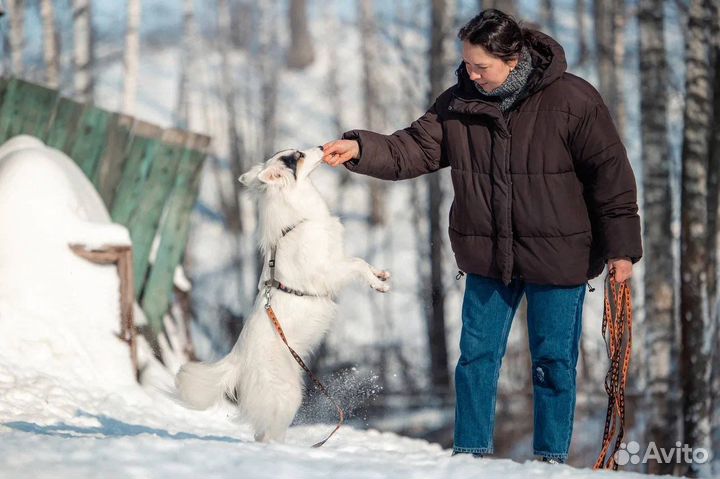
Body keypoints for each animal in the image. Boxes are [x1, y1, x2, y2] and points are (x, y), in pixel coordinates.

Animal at [174, 145, 390, 442]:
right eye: (298, 156)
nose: (322, 147)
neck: (299, 219)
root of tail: (237, 361)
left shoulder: (338, 259)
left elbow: (362, 261)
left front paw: (380, 275)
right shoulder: (328, 272)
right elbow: (357, 263)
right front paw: (377, 284)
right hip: (288, 395)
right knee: (267, 434)